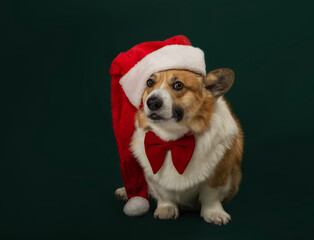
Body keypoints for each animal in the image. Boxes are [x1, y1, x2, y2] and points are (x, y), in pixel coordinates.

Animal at [115, 68, 243, 225]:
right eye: (149, 82)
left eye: (178, 85)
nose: (152, 102)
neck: (172, 140)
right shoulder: (154, 176)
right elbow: (164, 193)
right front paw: (166, 209)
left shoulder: (219, 172)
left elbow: (211, 195)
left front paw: (214, 213)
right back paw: (125, 192)